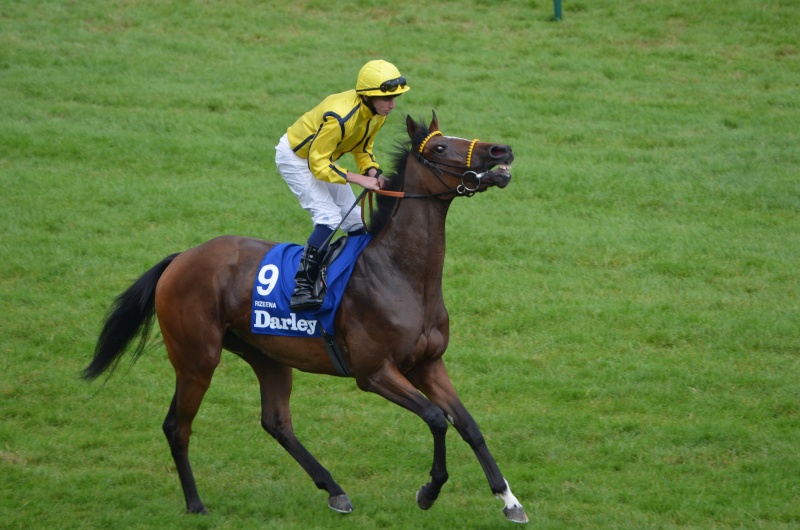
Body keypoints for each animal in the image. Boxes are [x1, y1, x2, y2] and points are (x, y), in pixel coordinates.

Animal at [84, 110, 528, 520]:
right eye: (438, 147)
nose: (500, 150)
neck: (401, 274)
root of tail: (180, 259)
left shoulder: (428, 363)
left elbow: (467, 424)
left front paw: (509, 500)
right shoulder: (374, 373)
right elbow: (437, 419)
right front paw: (429, 490)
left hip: (267, 356)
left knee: (276, 422)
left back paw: (334, 489)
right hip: (197, 359)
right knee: (178, 426)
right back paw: (195, 504)